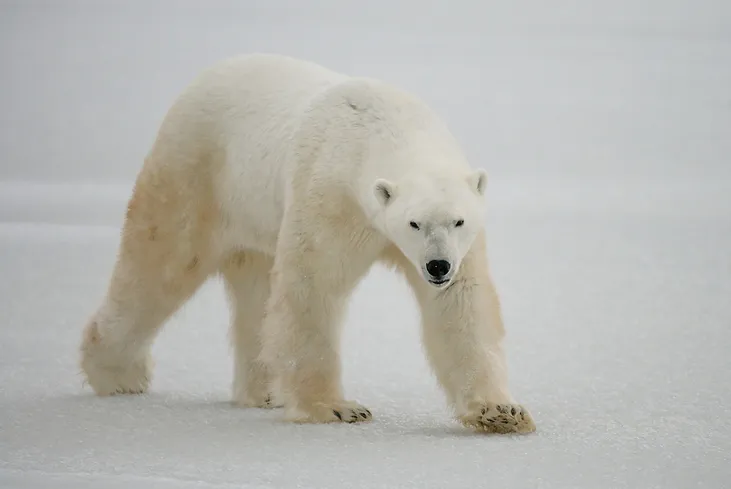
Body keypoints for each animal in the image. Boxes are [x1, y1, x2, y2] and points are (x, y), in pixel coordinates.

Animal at [80, 53, 536, 432]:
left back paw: (265, 391)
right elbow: (312, 287)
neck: (384, 125)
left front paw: (501, 412)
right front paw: (336, 408)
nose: (437, 266)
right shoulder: (331, 197)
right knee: (162, 262)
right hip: (198, 172)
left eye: (458, 220)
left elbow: (460, 304)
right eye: (413, 223)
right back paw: (117, 374)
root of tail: (201, 80)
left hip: (255, 215)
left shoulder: (462, 247)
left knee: (256, 294)